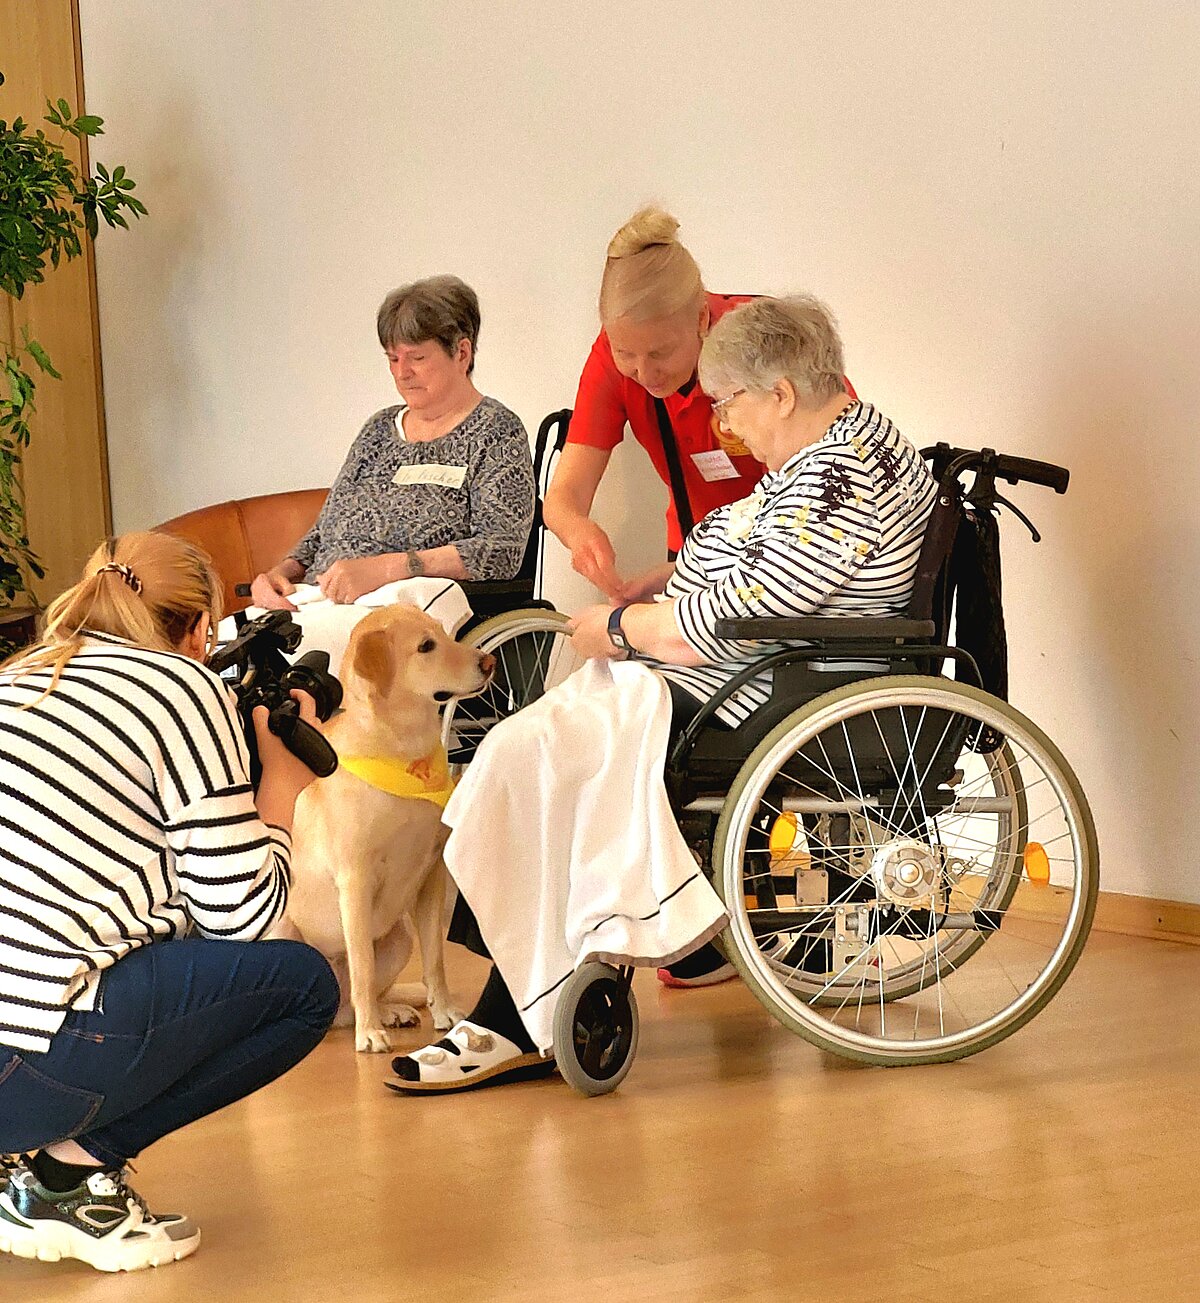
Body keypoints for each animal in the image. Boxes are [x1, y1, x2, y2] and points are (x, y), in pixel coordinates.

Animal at [274, 604, 492, 1052]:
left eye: (444, 634)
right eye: (425, 647)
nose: (489, 662)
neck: (403, 751)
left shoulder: (432, 875)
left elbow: (435, 960)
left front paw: (443, 1011)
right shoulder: (355, 882)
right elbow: (361, 965)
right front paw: (370, 1034)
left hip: (400, 938)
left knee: (356, 1003)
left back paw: (389, 1011)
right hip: (289, 932)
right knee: (349, 994)